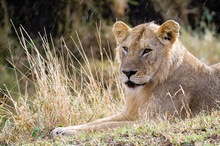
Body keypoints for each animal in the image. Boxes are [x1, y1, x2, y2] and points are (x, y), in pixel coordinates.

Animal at [50, 20, 220, 136]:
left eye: (147, 50)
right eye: (125, 48)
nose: (127, 72)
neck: (142, 91)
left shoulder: (155, 121)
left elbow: (106, 126)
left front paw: (67, 133)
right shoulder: (130, 112)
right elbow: (98, 121)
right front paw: (61, 129)